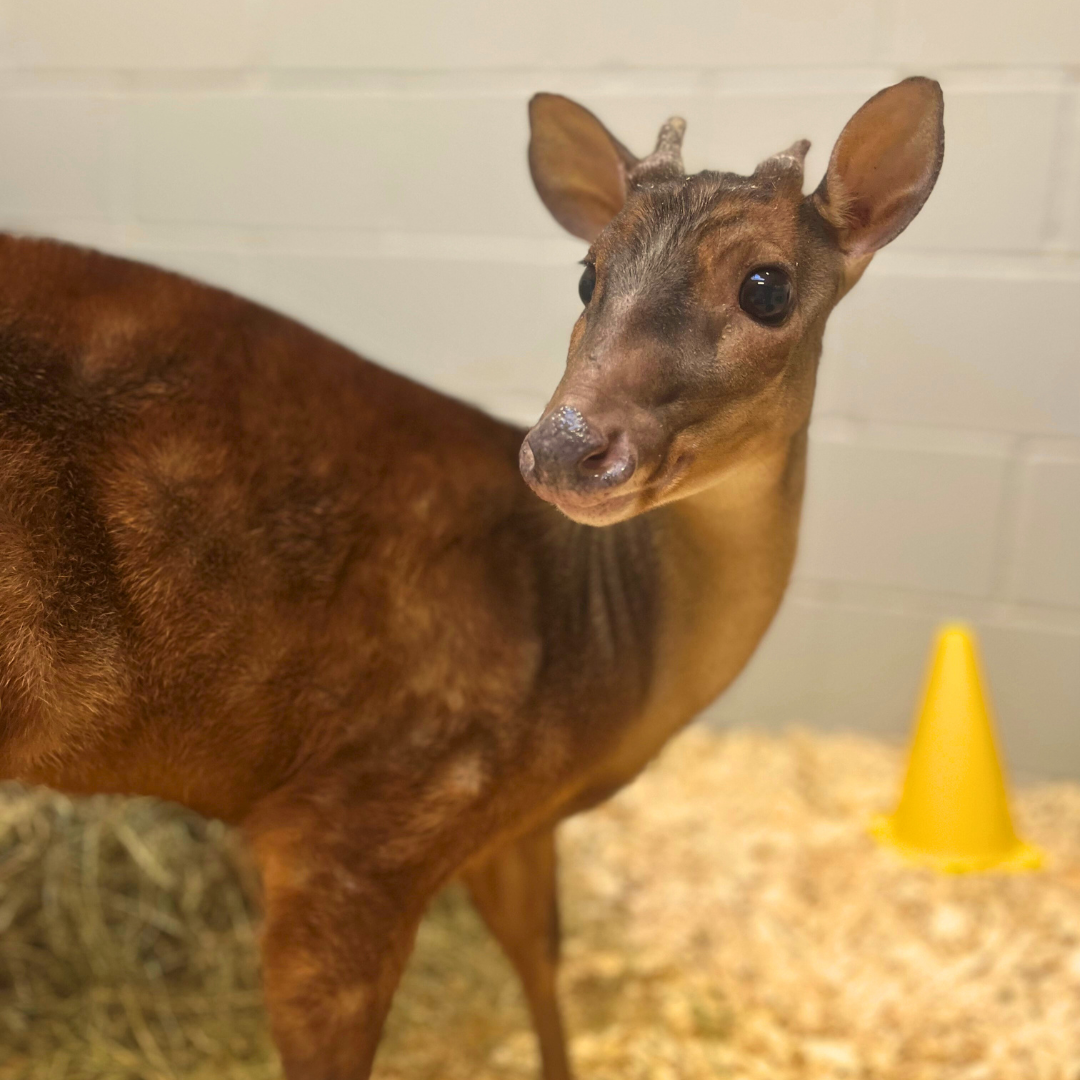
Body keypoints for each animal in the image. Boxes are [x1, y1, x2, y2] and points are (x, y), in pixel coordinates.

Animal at [0, 79, 941, 1075]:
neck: (606, 646)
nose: (566, 448)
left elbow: (541, 958)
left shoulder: (510, 825)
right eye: (587, 274)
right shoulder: (363, 822)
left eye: (767, 286)